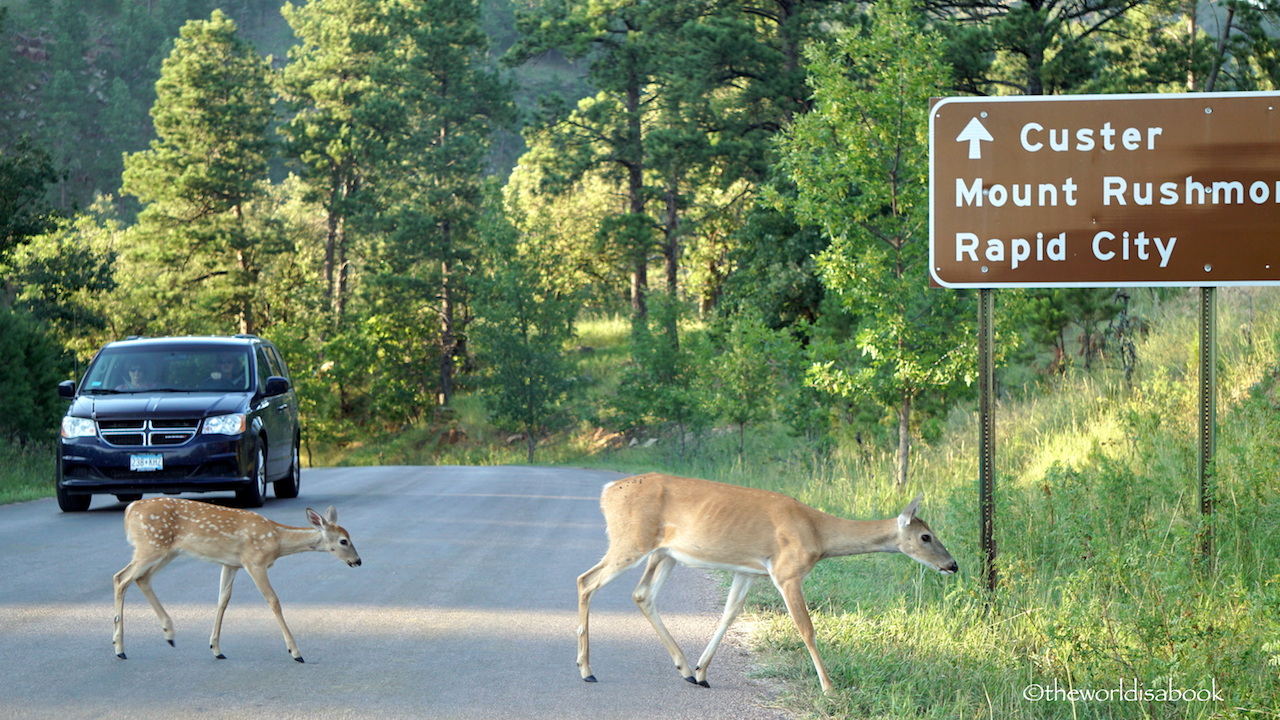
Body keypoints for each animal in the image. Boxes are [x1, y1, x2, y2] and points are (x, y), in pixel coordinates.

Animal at [111, 497, 360, 661]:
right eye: (343, 541)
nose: (358, 561)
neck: (277, 540)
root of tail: (130, 510)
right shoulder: (254, 561)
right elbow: (273, 601)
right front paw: (295, 652)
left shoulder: (231, 564)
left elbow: (223, 600)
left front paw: (216, 648)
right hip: (152, 545)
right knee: (121, 578)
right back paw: (119, 648)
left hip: (166, 550)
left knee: (141, 578)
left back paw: (168, 634)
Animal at [576, 468, 957, 691]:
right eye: (926, 537)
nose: (952, 565)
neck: (819, 534)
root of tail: (607, 491)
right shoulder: (787, 571)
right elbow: (807, 629)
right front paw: (830, 689)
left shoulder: (748, 571)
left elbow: (729, 615)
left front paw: (702, 672)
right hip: (632, 540)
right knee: (586, 580)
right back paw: (586, 669)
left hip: (664, 552)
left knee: (642, 594)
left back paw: (683, 668)